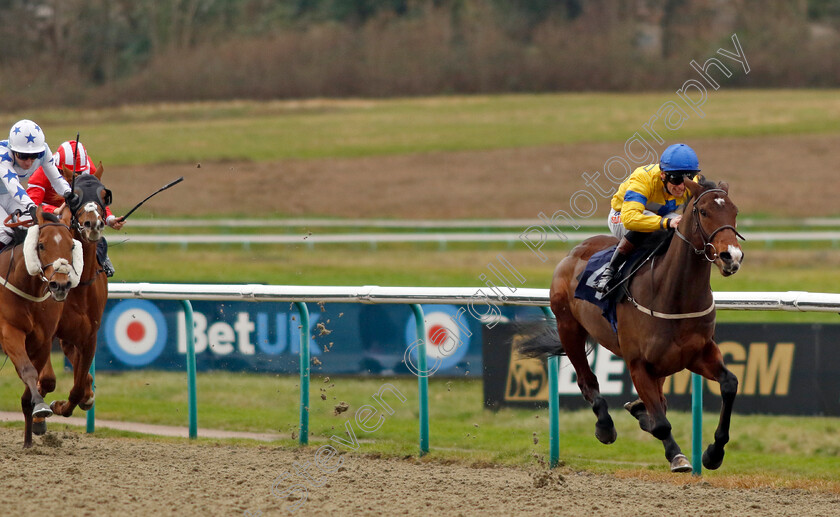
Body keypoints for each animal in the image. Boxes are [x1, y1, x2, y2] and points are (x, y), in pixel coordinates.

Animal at [0, 206, 83, 448]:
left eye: (72, 245)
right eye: (42, 245)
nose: (61, 284)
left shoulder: (42, 339)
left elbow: (32, 382)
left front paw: (29, 440)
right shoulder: (9, 331)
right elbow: (27, 370)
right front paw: (40, 405)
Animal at [520, 178, 744, 472]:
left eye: (734, 212)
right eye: (704, 212)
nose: (732, 257)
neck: (673, 295)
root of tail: (575, 251)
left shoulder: (698, 353)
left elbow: (729, 384)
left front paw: (713, 453)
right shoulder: (637, 363)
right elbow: (661, 423)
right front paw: (676, 455)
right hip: (568, 327)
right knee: (587, 380)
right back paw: (605, 426)